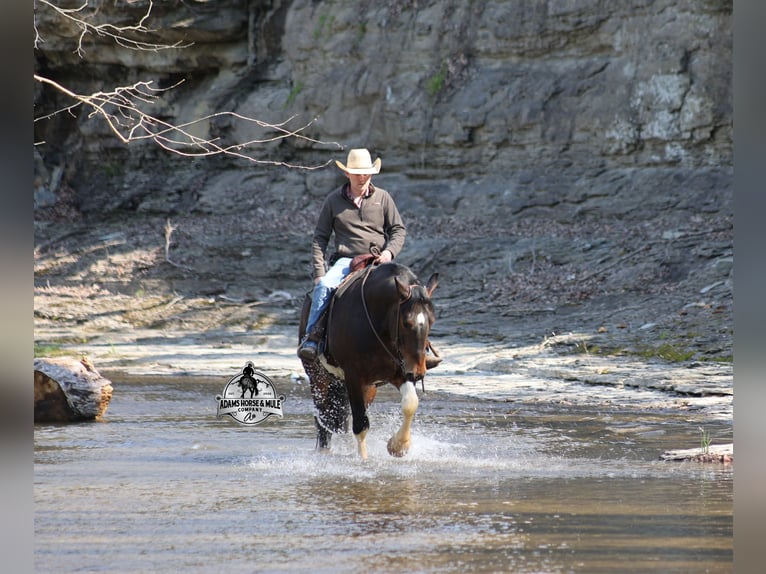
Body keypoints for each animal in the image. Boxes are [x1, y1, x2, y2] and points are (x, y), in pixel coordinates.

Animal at [299, 262, 439, 459]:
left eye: (431, 321)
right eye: (405, 323)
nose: (418, 372)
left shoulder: (399, 372)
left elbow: (410, 403)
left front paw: (398, 446)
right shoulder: (353, 376)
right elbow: (361, 424)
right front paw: (364, 460)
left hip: (367, 387)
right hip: (318, 378)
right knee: (324, 418)